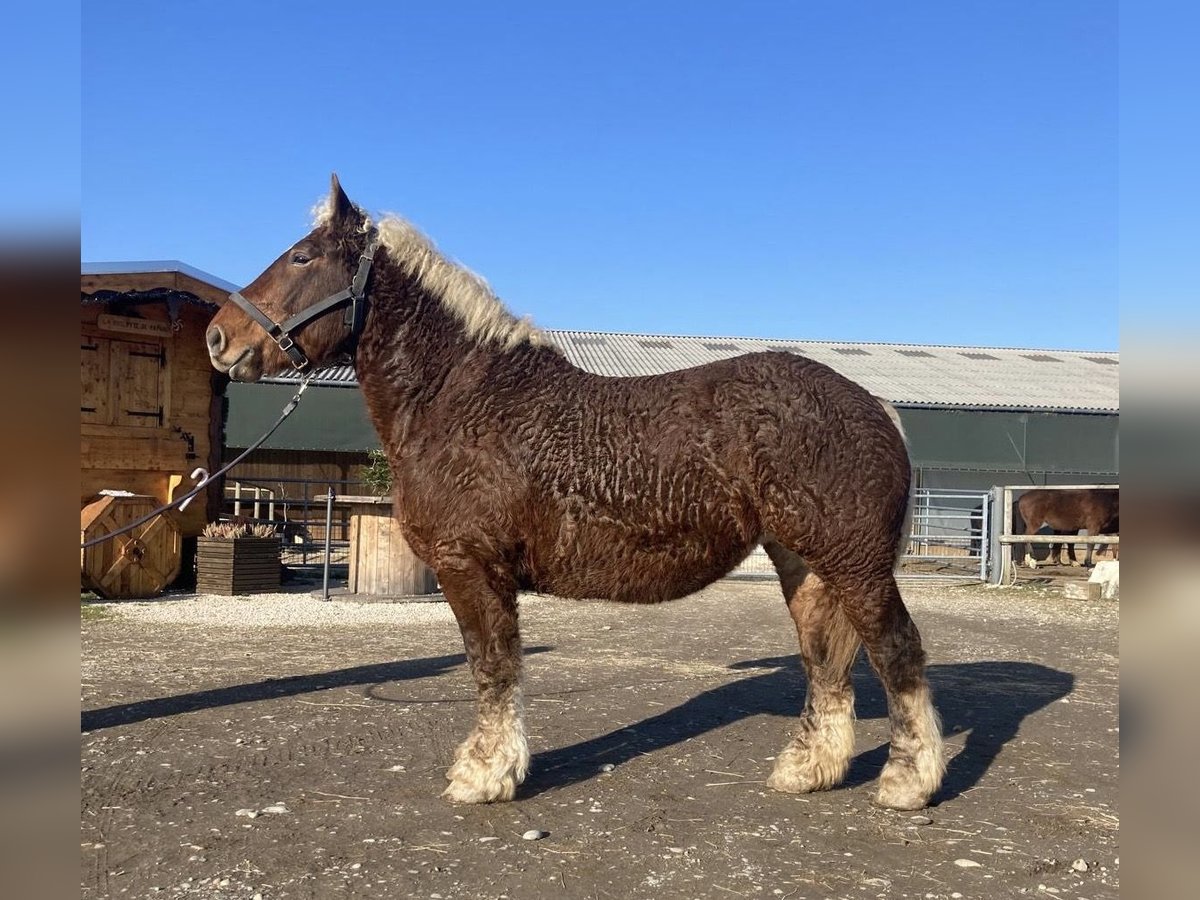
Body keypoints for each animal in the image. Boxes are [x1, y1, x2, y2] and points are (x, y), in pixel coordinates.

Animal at [208, 174, 945, 811]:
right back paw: (807, 770)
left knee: (898, 652)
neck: (464, 399)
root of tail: (876, 407)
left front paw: (485, 775)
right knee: (826, 663)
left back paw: (908, 782)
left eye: (302, 257)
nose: (219, 337)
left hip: (855, 565)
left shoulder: (470, 565)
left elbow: (492, 667)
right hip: (807, 565)